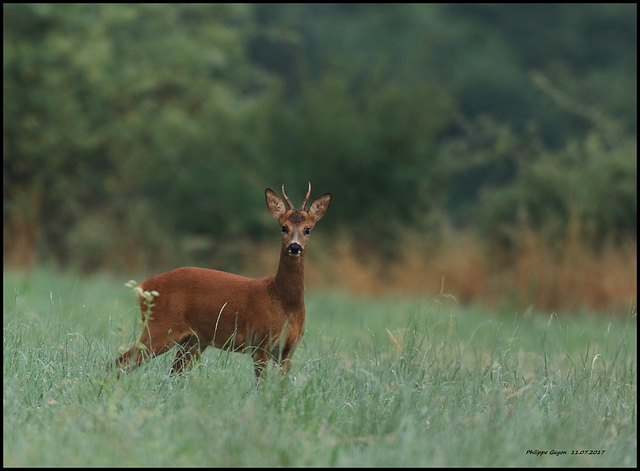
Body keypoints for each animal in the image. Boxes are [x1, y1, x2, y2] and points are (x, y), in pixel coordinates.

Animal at [112, 183, 330, 382]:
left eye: (308, 229)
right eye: (284, 227)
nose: (294, 247)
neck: (282, 301)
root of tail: (143, 287)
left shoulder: (289, 349)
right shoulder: (259, 341)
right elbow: (262, 386)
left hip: (193, 340)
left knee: (172, 374)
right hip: (161, 328)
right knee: (119, 363)